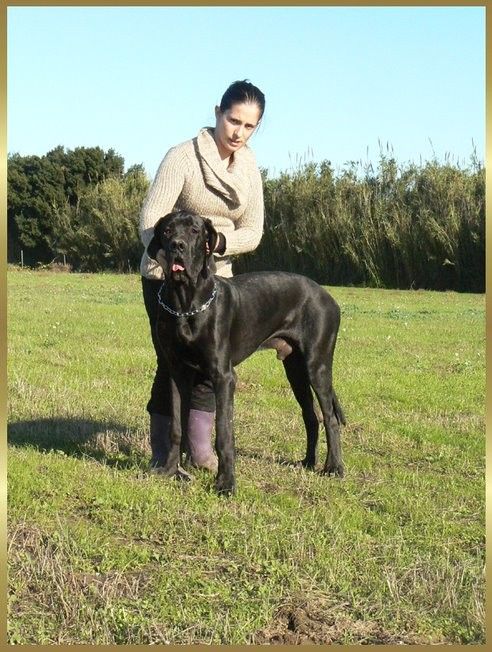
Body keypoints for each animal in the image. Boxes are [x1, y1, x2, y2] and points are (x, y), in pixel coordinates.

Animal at [147, 210, 345, 495]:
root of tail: (327, 295)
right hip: (295, 370)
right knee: (311, 416)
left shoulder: (223, 376)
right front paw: (170, 470)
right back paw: (308, 462)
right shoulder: (177, 372)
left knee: (330, 417)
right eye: (167, 230)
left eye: (195, 230)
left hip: (316, 366)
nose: (177, 246)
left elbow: (223, 433)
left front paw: (226, 483)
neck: (185, 303)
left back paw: (334, 467)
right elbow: (176, 426)